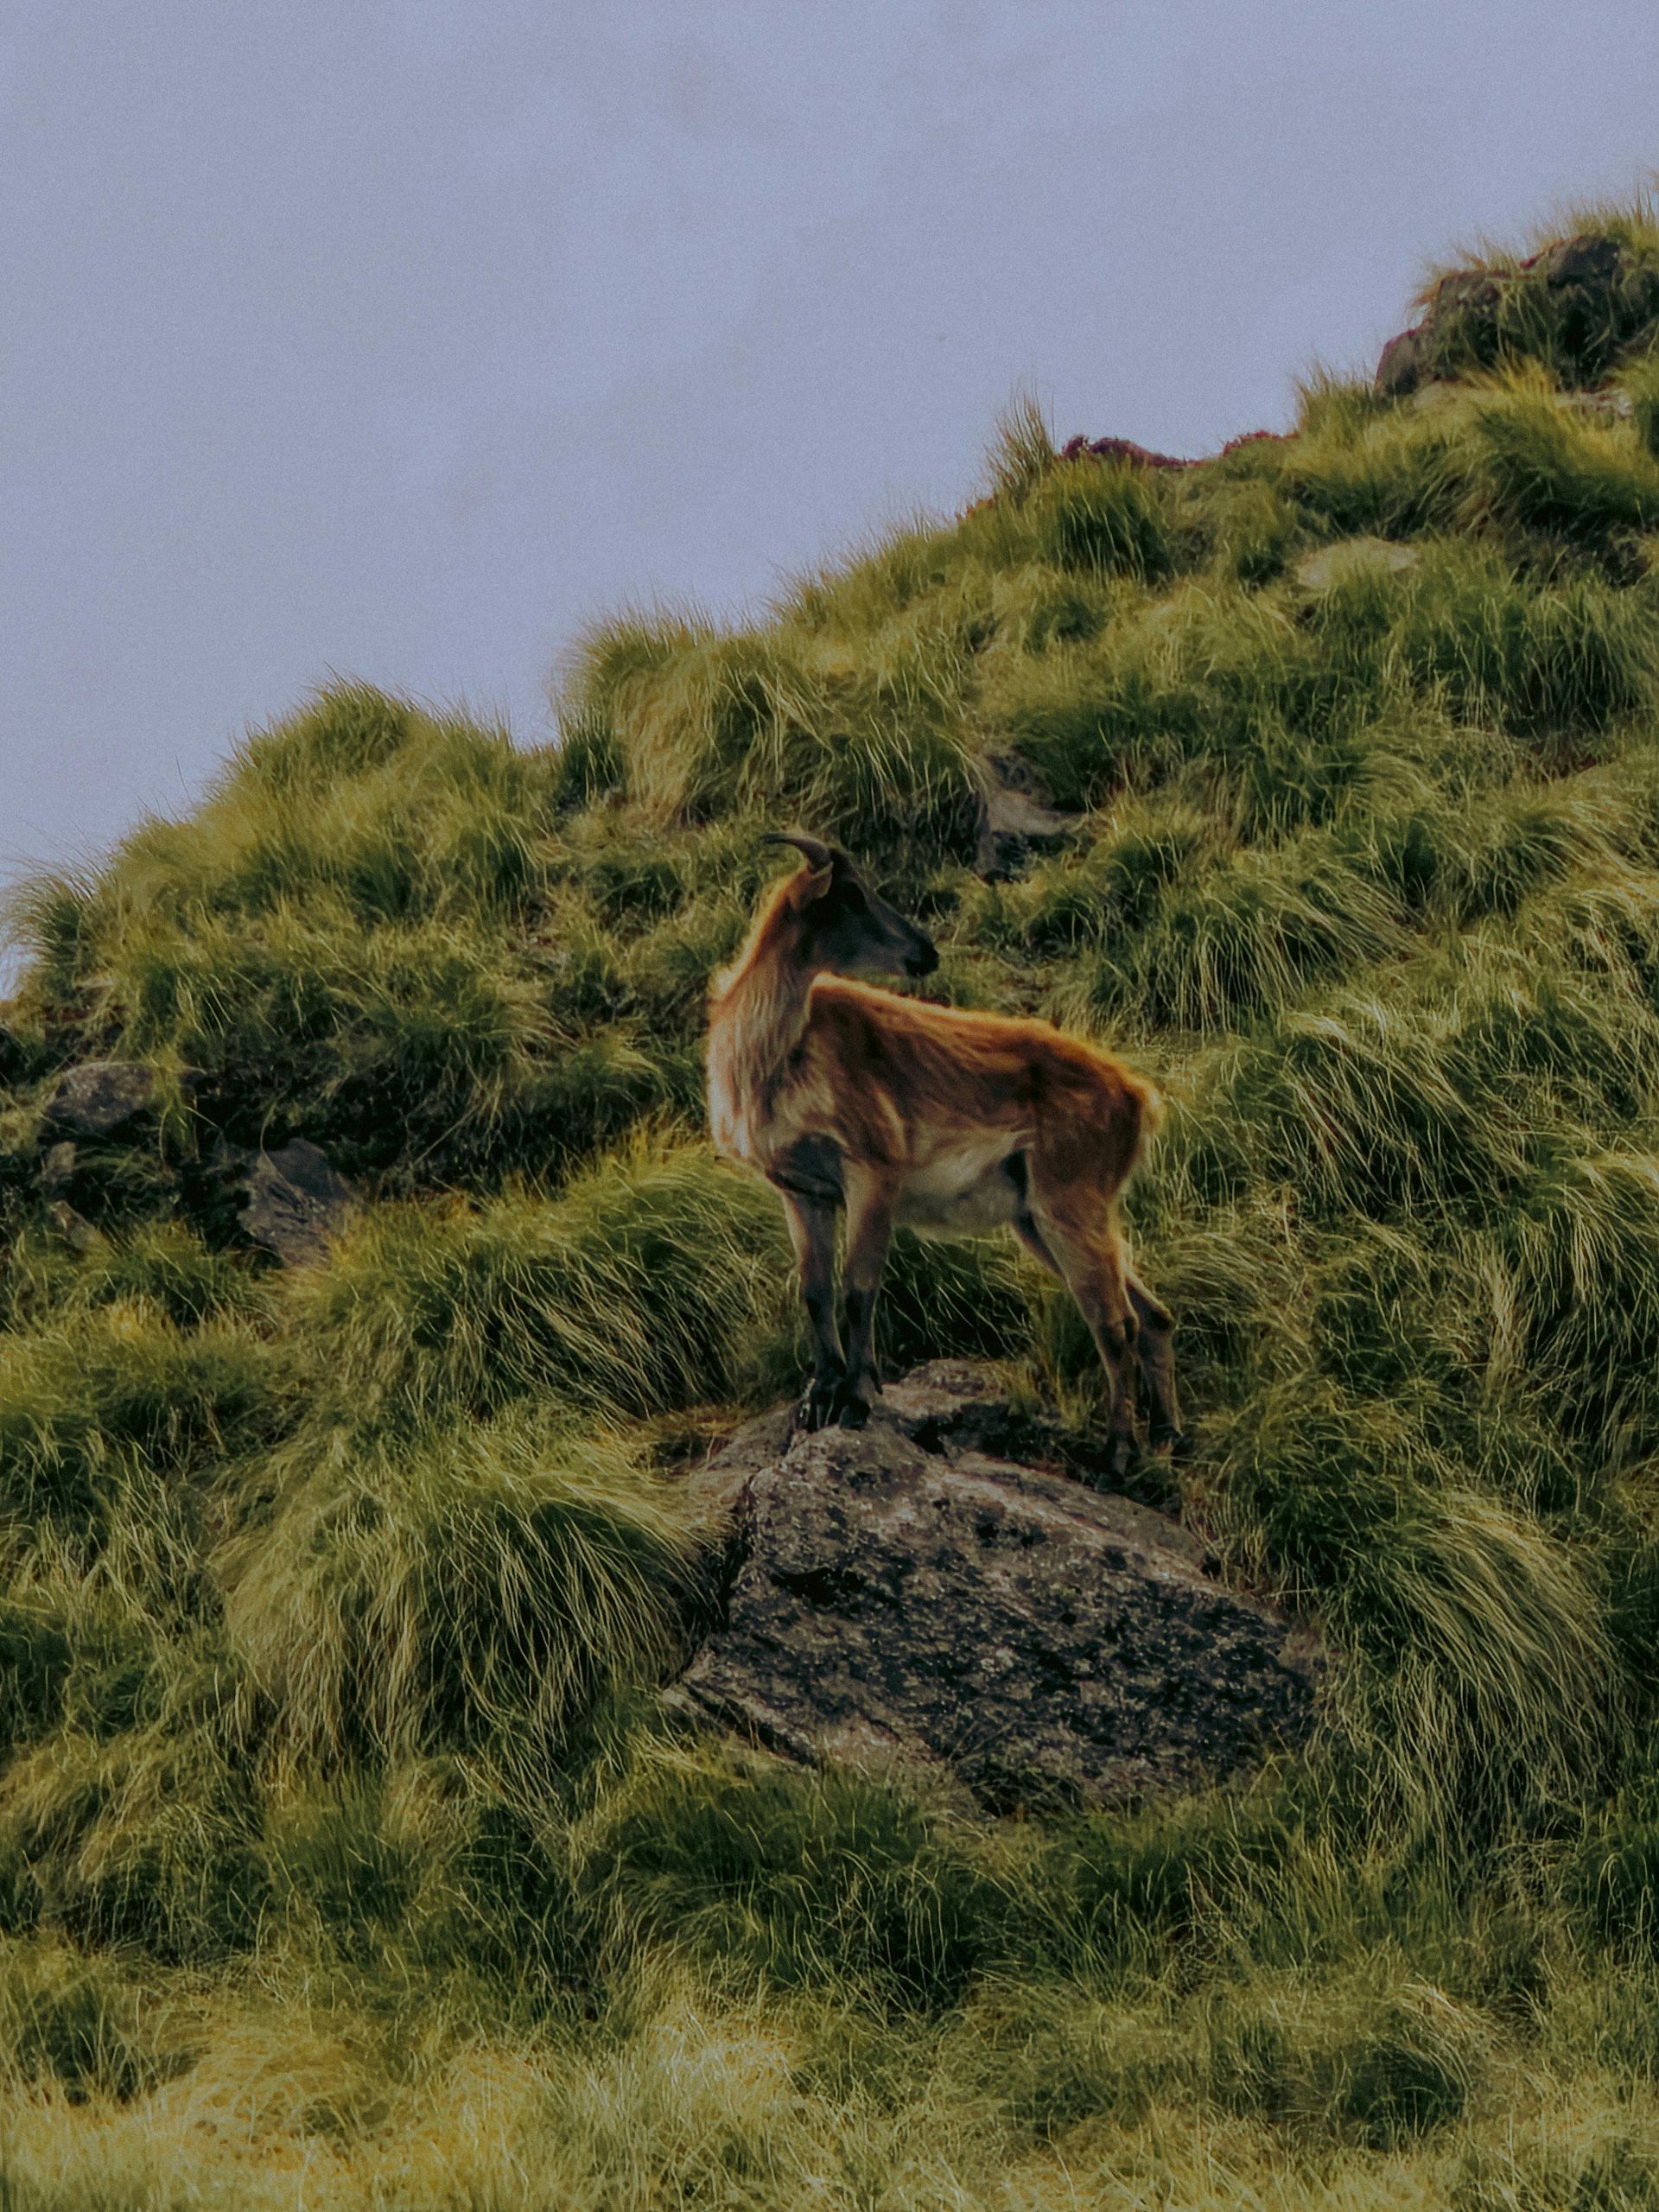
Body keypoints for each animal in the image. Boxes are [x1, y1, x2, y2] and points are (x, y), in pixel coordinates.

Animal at [705, 833, 1186, 1474]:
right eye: (852, 893)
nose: (925, 952)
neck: (775, 1057)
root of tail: (1137, 1098)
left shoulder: (872, 1173)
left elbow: (859, 1286)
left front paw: (857, 1397)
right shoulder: (803, 1190)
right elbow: (816, 1291)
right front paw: (819, 1395)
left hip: (1070, 1205)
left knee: (1116, 1322)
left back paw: (1118, 1454)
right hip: (1037, 1220)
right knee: (1152, 1315)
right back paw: (1171, 1437)